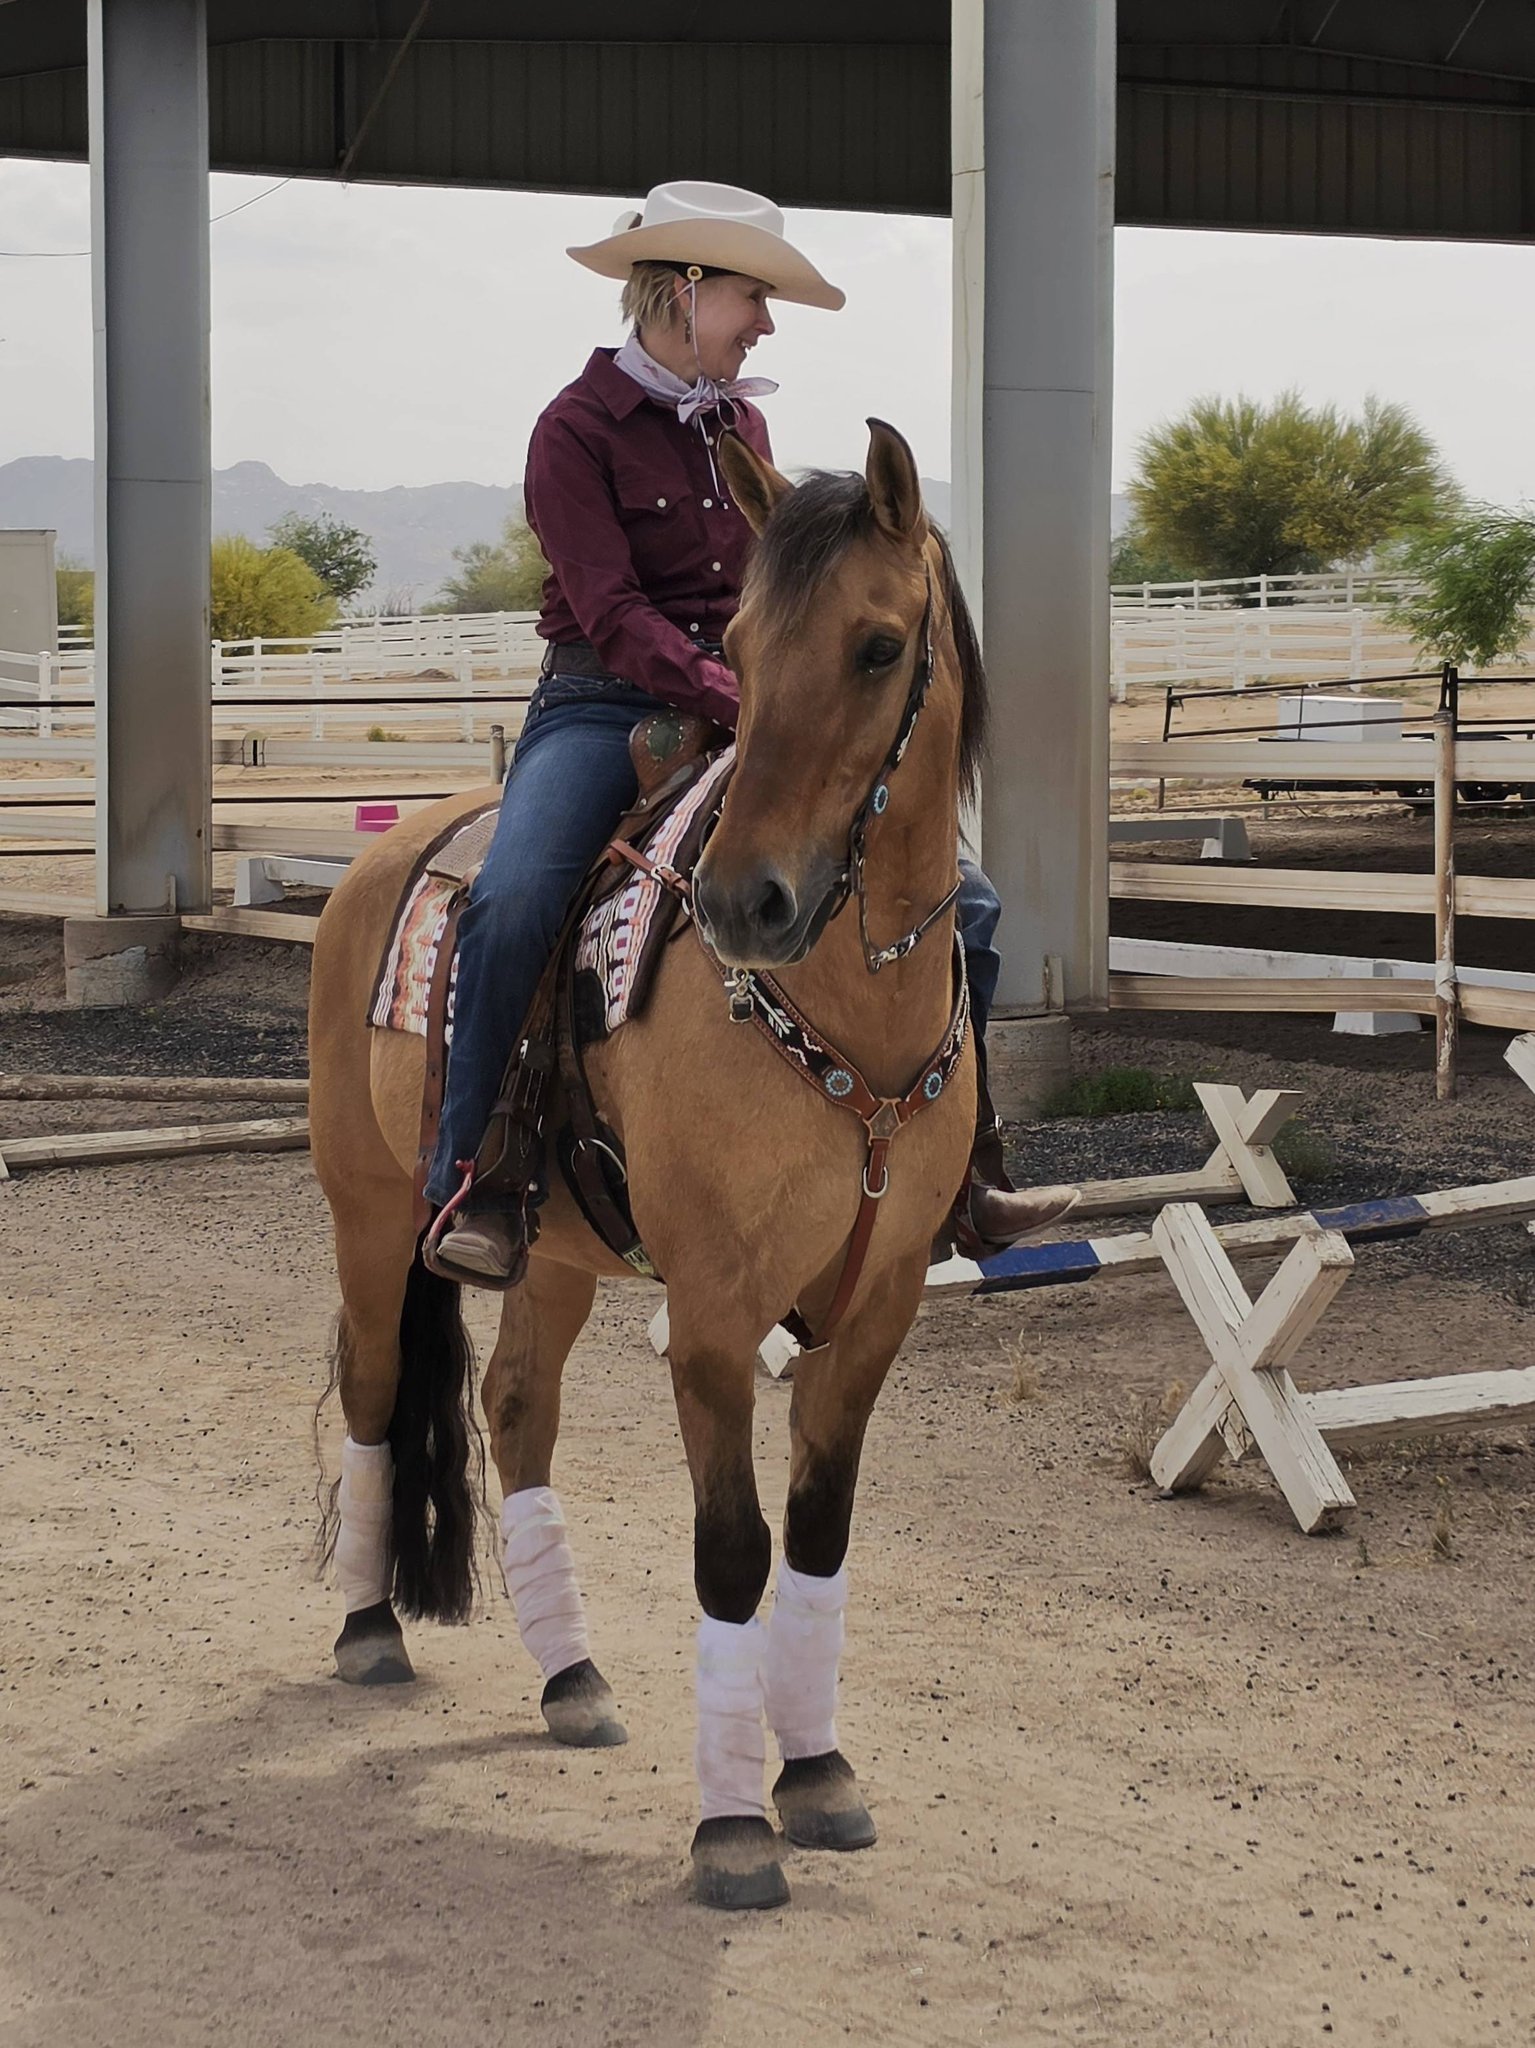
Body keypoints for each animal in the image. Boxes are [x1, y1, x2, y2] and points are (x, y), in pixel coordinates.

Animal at [307, 418, 988, 1911]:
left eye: (874, 645)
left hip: (551, 1245)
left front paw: (814, 1772)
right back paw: (369, 1624)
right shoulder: (717, 1309)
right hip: (369, 1212)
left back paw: (568, 1675)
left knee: (513, 1405)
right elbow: (731, 1549)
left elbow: (816, 1534)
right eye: (732, 639)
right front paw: (732, 1826)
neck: (844, 1025)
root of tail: (384, 851)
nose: (743, 903)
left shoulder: (880, 1303)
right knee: (380, 1394)